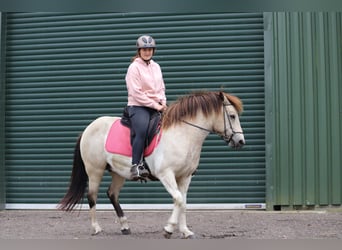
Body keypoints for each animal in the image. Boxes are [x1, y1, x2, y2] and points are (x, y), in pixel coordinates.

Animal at [58, 90, 246, 238]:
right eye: (232, 116)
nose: (240, 141)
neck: (182, 134)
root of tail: (88, 128)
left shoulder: (185, 177)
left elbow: (183, 203)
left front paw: (185, 231)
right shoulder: (166, 174)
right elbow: (178, 199)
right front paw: (169, 229)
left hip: (118, 173)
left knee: (112, 194)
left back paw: (125, 226)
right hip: (94, 170)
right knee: (92, 196)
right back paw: (96, 228)